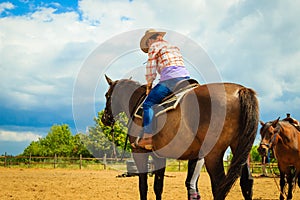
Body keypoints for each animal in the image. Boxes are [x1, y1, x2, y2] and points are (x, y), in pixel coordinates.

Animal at [102, 76, 258, 199]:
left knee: (219, 185)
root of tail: (241, 90)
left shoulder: (139, 153)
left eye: (106, 95)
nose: (105, 118)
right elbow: (158, 186)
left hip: (213, 154)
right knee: (246, 182)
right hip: (240, 150)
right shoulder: (159, 156)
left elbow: (143, 187)